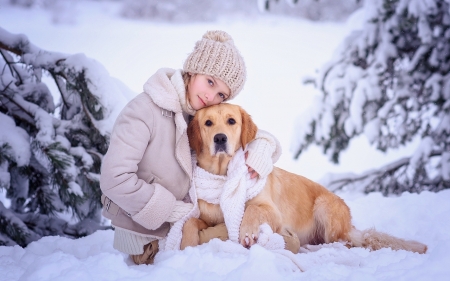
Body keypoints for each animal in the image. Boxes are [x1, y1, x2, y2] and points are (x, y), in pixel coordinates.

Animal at [181, 103, 428, 254]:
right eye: (208, 123)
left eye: (231, 121)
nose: (220, 138)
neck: (222, 175)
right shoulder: (206, 218)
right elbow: (190, 222)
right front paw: (185, 244)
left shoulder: (273, 212)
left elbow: (252, 209)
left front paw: (248, 231)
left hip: (325, 207)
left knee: (343, 243)